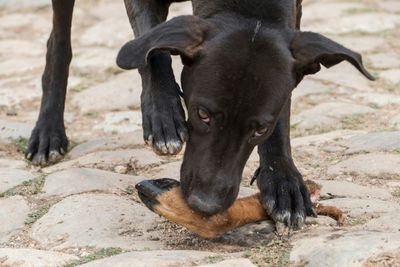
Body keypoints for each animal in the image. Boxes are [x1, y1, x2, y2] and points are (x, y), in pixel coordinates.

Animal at [27, 0, 372, 229]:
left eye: (259, 129)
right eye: (202, 114)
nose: (205, 204)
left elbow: (283, 112)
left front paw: (283, 181)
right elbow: (152, 48)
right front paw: (164, 118)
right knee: (58, 44)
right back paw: (48, 132)